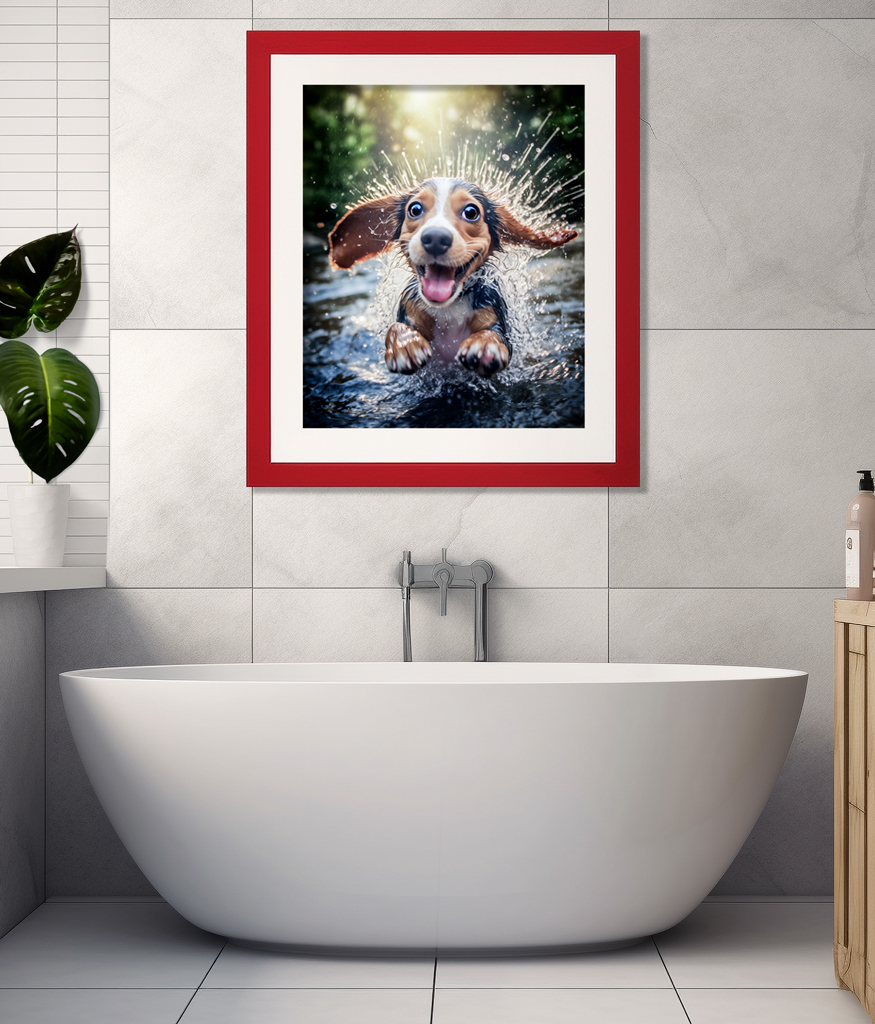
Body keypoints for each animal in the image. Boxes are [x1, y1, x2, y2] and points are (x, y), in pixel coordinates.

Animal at [325, 178, 577, 378]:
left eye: (471, 212)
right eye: (415, 209)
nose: (436, 238)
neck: (450, 308)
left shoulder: (495, 315)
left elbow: (494, 334)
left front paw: (485, 345)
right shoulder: (410, 308)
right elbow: (396, 327)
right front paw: (405, 344)